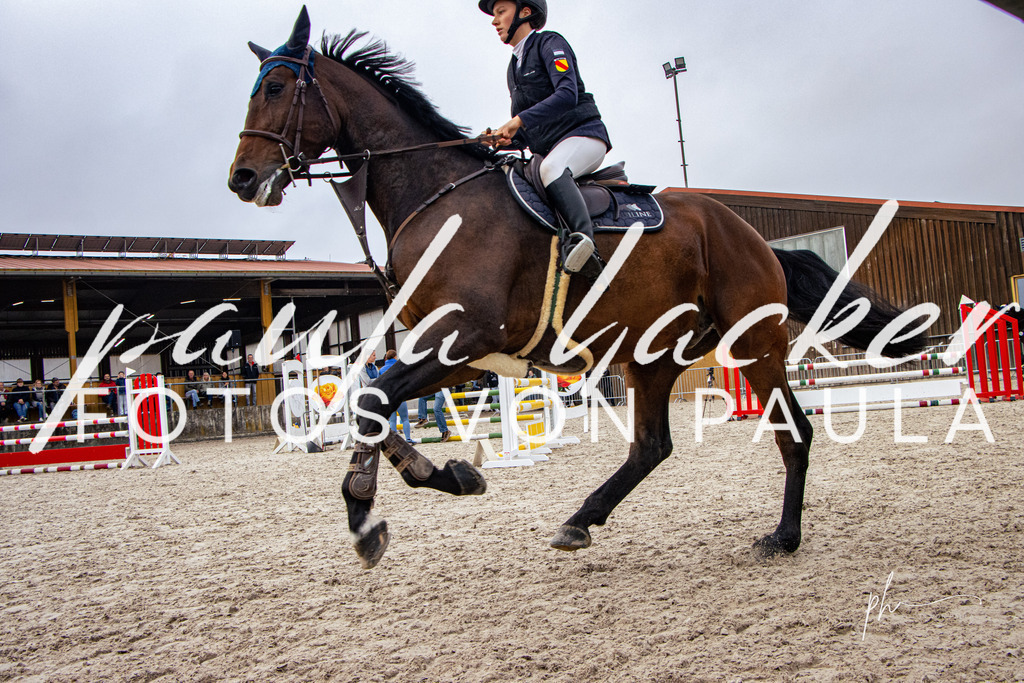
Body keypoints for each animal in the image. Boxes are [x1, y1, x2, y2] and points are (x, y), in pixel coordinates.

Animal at [228, 8, 928, 569]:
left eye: (278, 87)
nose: (242, 179)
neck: (436, 195)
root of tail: (751, 235)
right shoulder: (454, 350)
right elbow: (370, 402)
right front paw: (445, 475)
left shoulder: (462, 338)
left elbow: (373, 401)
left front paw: (368, 516)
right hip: (652, 356)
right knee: (651, 446)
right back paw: (580, 521)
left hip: (753, 344)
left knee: (793, 433)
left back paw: (782, 537)